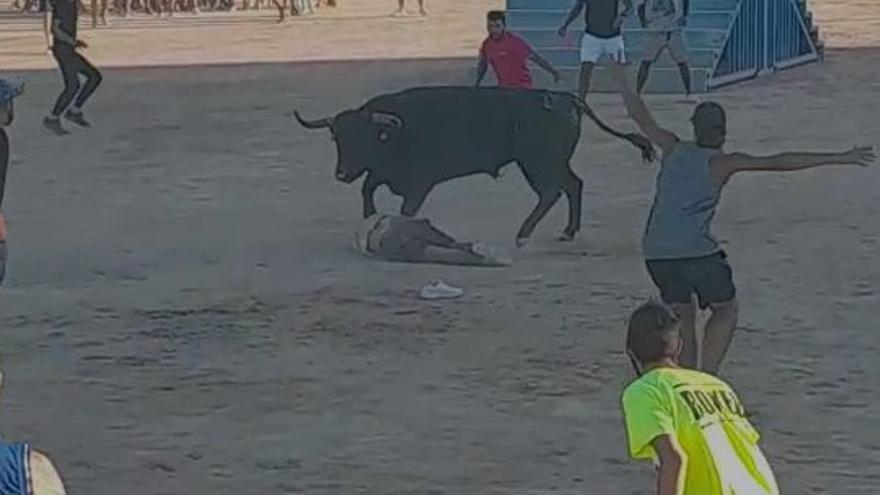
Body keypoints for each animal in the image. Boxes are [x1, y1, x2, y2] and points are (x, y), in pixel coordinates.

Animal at [296, 87, 652, 246]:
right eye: (337, 138)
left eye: (364, 137)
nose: (341, 174)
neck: (395, 134)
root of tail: (566, 99)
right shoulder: (383, 174)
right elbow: (367, 189)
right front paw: (370, 217)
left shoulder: (420, 182)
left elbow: (406, 209)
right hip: (544, 163)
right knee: (571, 185)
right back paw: (565, 231)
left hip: (539, 162)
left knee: (554, 190)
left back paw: (526, 233)